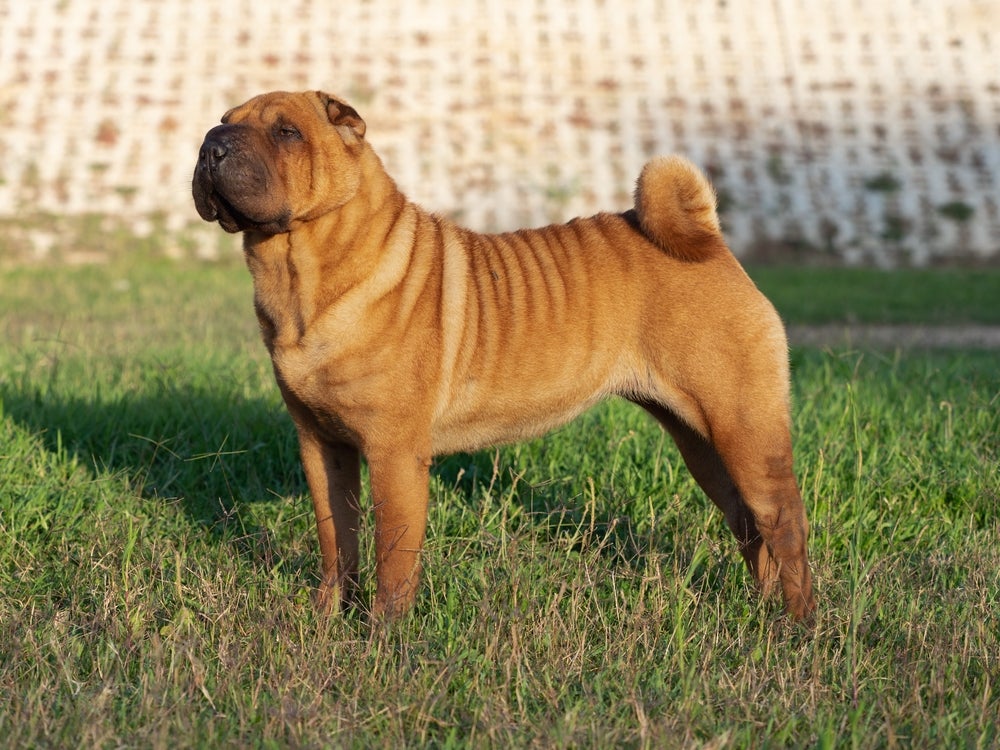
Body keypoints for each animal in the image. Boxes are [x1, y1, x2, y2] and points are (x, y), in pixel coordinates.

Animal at [191, 89, 816, 624]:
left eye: (287, 132)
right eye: (224, 118)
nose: (211, 144)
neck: (298, 272)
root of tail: (711, 239)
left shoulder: (393, 453)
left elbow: (393, 554)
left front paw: (382, 634)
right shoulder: (322, 446)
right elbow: (336, 540)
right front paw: (326, 618)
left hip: (742, 425)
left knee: (783, 521)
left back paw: (797, 624)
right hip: (700, 440)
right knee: (748, 521)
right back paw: (764, 611)